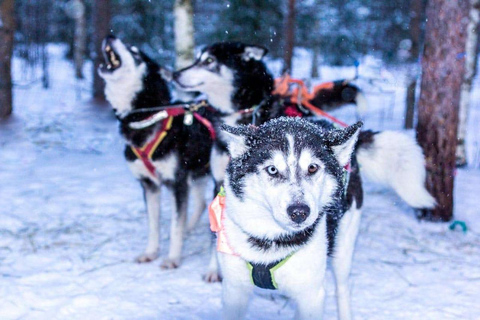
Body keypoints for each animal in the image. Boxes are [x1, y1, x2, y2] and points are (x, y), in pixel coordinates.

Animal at [97, 35, 214, 268]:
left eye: (135, 51)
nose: (110, 36)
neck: (146, 116)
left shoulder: (177, 183)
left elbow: (175, 224)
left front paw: (173, 258)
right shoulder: (149, 185)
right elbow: (154, 225)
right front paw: (151, 252)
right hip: (199, 173)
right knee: (200, 203)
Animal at [218, 118, 364, 320]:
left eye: (312, 167)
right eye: (272, 169)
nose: (299, 212)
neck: (272, 240)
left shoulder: (311, 295)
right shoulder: (234, 289)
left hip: (343, 245)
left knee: (342, 286)